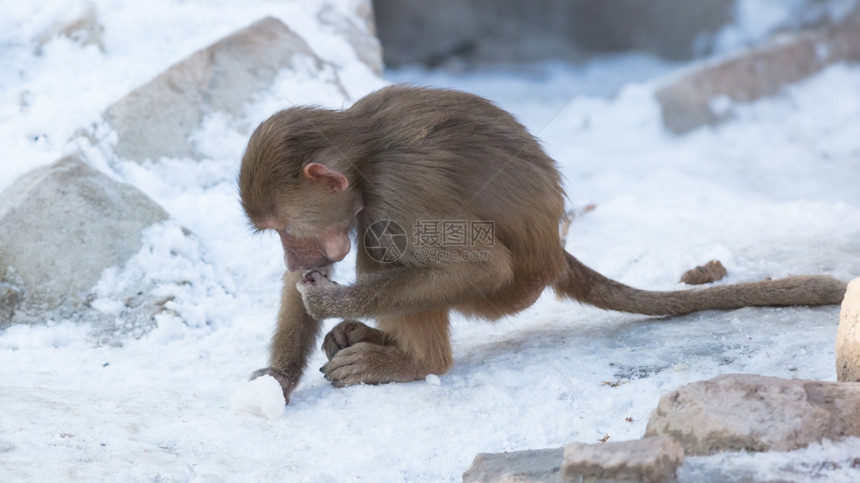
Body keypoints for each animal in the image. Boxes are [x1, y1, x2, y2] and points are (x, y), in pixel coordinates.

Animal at [237, 84, 848, 404]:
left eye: (287, 231)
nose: (293, 256)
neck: (363, 160)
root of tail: (554, 250)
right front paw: (277, 380)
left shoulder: (399, 192)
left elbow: (480, 265)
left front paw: (329, 298)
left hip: (513, 291)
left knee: (387, 242)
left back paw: (412, 361)